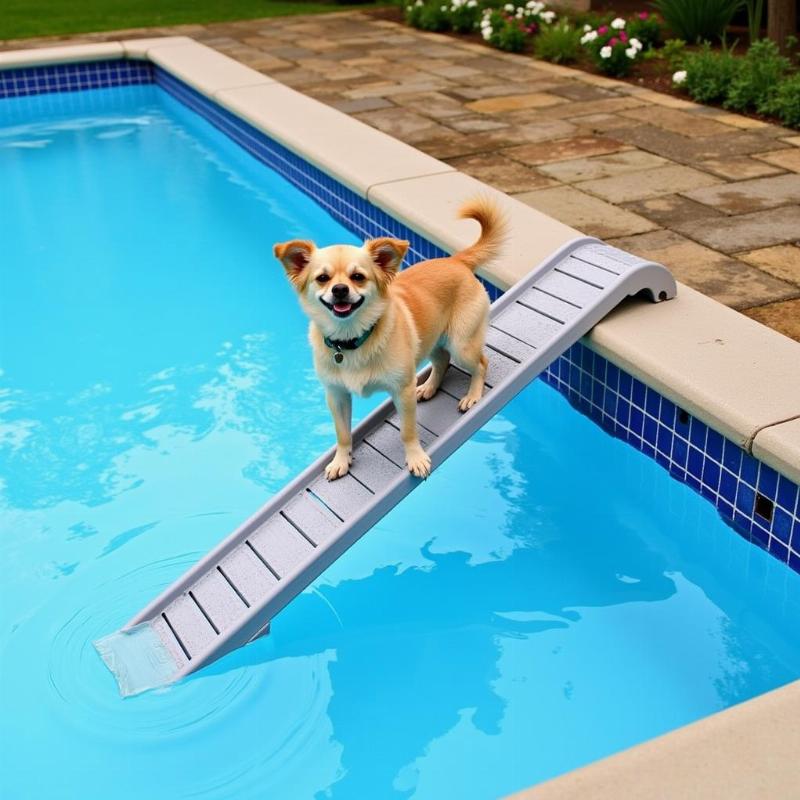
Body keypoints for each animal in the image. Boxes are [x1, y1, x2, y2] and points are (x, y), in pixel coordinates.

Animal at [272, 195, 504, 482]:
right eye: (322, 278)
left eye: (358, 277)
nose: (339, 289)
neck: (351, 339)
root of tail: (456, 261)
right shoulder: (336, 395)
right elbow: (342, 434)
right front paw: (341, 461)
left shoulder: (401, 391)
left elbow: (408, 431)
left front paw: (415, 458)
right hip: (431, 341)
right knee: (442, 361)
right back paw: (429, 387)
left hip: (462, 344)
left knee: (481, 364)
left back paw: (472, 395)